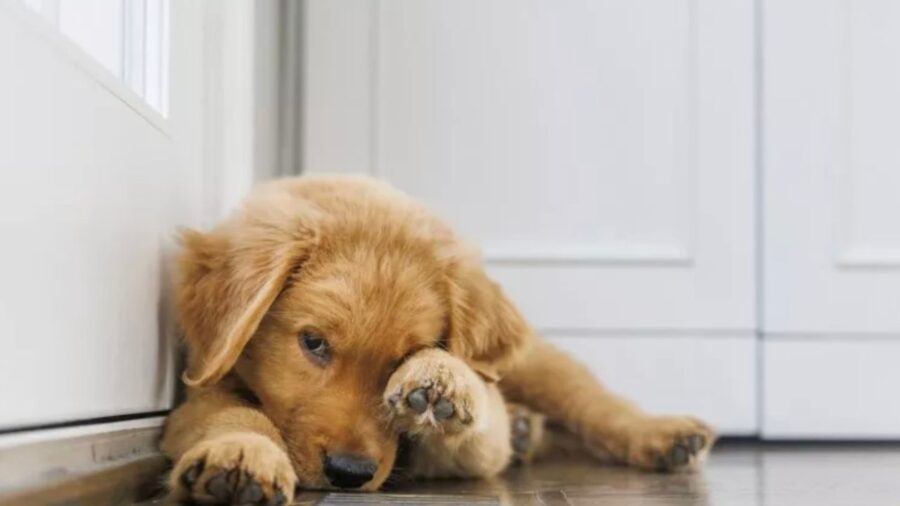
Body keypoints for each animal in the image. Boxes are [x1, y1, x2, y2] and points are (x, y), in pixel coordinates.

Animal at [160, 176, 712, 504]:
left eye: (409, 353)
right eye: (313, 343)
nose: (350, 473)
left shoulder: (473, 446)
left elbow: (477, 415)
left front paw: (444, 380)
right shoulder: (204, 387)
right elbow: (233, 413)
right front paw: (242, 454)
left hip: (536, 364)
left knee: (590, 399)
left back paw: (663, 434)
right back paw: (528, 429)